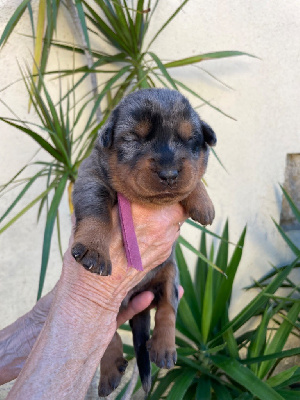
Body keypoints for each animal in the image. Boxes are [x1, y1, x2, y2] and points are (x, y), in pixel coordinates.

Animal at [71, 88, 217, 396]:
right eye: (133, 139)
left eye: (190, 140)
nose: (169, 174)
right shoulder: (91, 177)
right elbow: (96, 211)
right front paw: (94, 248)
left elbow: (194, 175)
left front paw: (202, 201)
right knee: (108, 337)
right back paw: (109, 372)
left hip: (170, 273)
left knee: (167, 310)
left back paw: (163, 348)